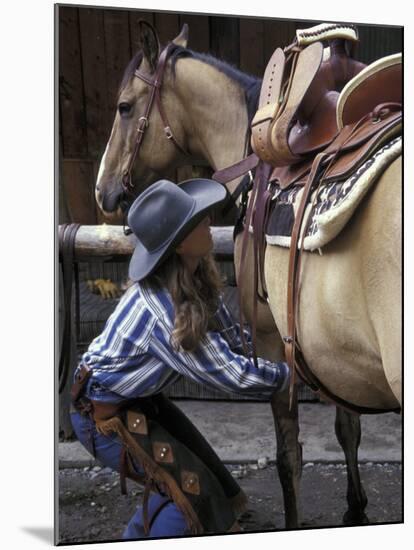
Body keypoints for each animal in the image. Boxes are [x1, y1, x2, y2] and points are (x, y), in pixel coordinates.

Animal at [94, 20, 402, 532]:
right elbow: (347, 428)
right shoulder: (335, 350)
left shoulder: (274, 339)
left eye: (124, 107)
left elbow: (288, 456)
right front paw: (354, 508)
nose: (103, 191)